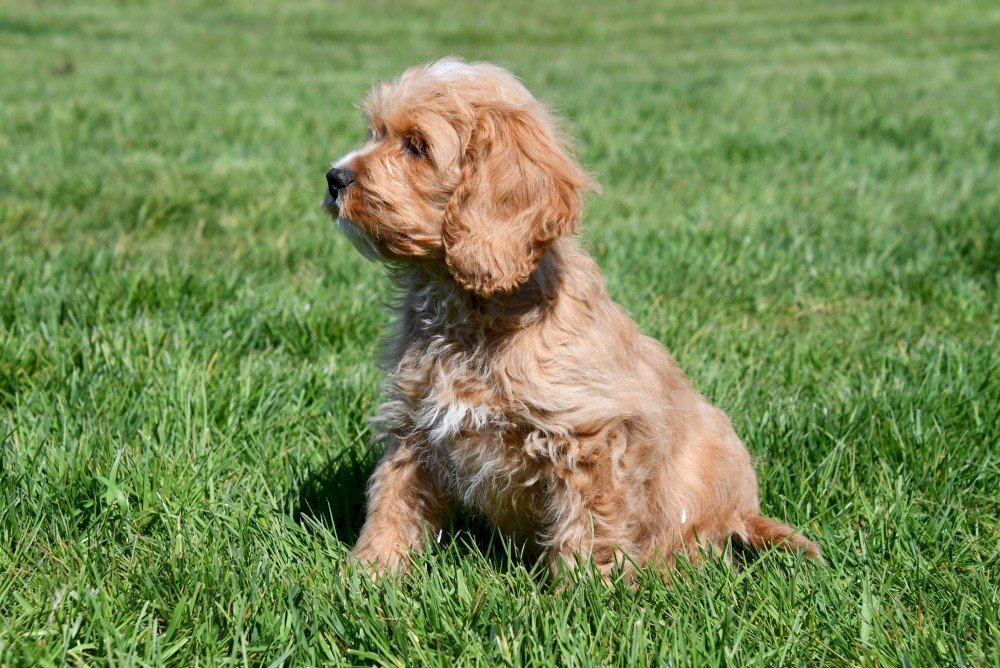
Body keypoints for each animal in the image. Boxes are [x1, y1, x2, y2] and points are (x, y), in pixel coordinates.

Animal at [322, 57, 820, 578]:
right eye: (375, 132)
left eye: (416, 145)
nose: (333, 178)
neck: (467, 306)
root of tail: (744, 510)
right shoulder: (415, 423)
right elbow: (393, 498)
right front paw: (368, 573)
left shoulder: (588, 437)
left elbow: (588, 526)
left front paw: (581, 592)